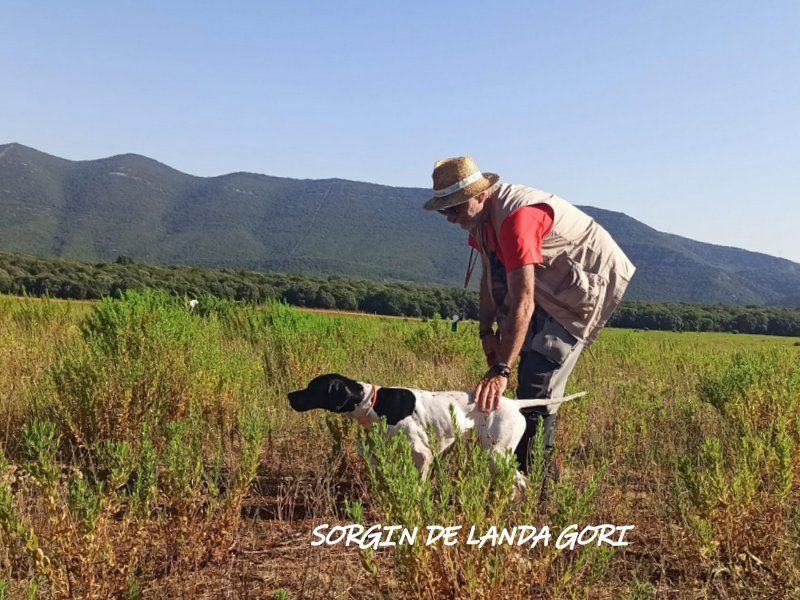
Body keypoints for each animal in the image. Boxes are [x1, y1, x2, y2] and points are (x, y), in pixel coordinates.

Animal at [284, 372, 584, 490]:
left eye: (312, 388)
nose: (290, 395)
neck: (375, 402)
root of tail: (512, 402)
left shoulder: (423, 455)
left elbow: (417, 486)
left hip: (496, 453)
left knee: (521, 481)